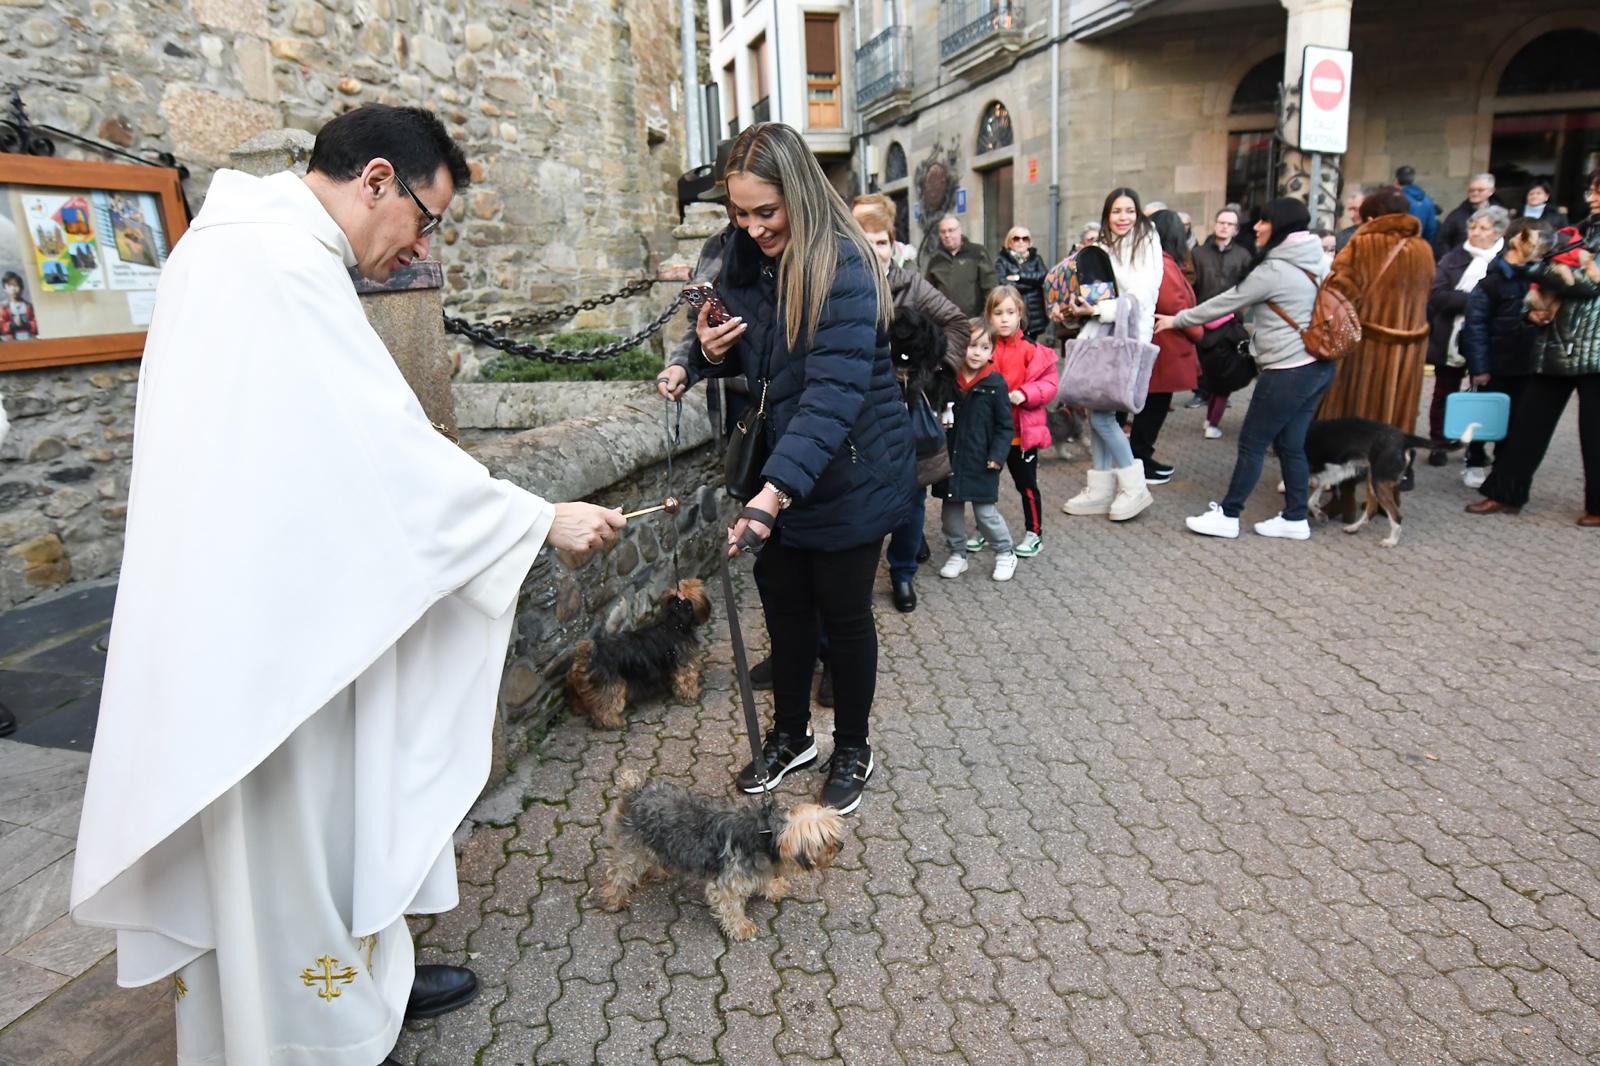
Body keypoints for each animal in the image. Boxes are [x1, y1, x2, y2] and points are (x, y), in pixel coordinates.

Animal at [1312, 416, 1465, 547]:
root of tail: (1403, 437)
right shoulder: (1322, 476)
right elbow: (1312, 500)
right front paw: (1319, 514)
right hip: (1373, 481)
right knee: (1372, 510)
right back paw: (1353, 528)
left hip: (1378, 483)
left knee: (1396, 516)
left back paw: (1391, 541)